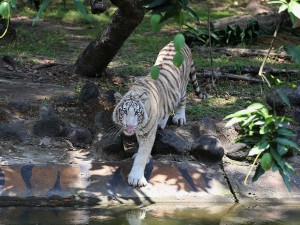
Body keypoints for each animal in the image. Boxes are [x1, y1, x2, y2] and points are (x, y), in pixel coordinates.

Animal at [112, 41, 206, 187]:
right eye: (124, 111)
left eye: (137, 113)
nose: (129, 127)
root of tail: (181, 42)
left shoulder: (147, 132)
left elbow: (142, 154)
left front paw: (136, 178)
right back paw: (161, 123)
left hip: (182, 88)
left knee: (182, 101)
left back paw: (180, 117)